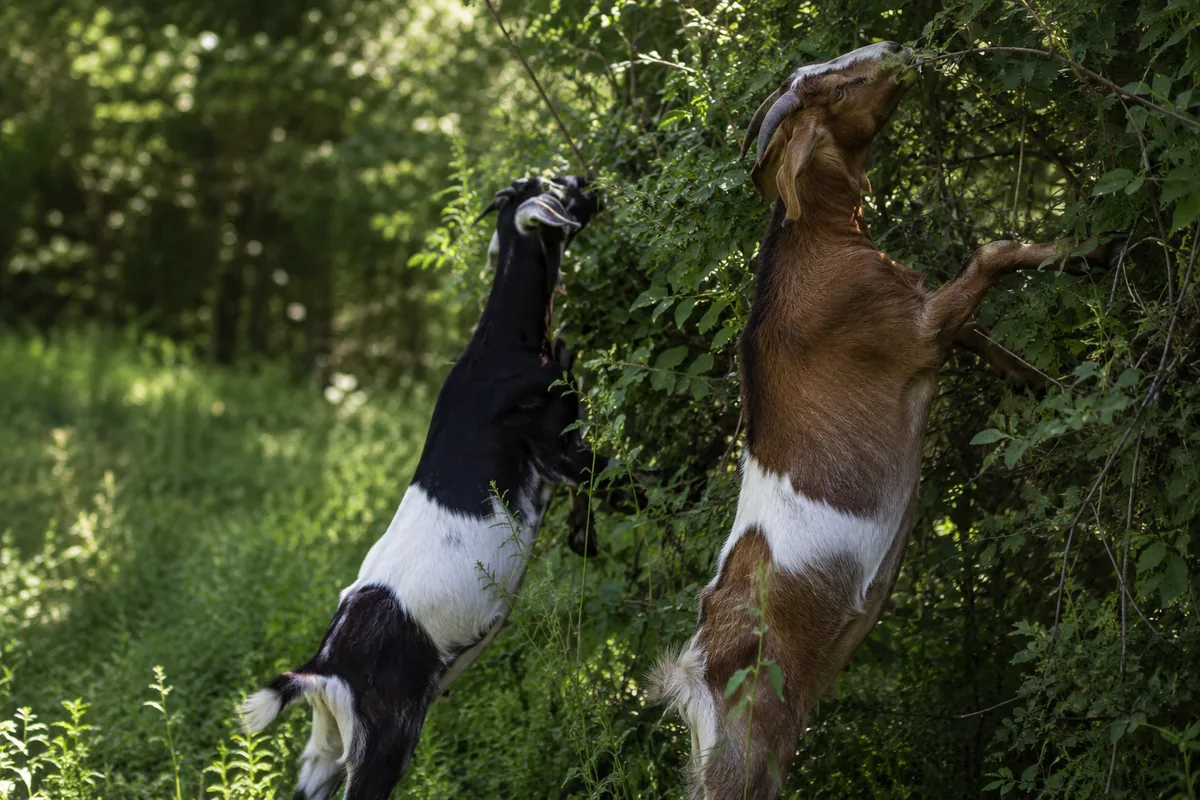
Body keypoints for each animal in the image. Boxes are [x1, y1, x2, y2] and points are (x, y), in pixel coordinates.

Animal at [239, 176, 605, 800]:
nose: (588, 184)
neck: (501, 346)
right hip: (382, 748)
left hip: (326, 750)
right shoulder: (559, 451)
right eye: (557, 187)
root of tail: (325, 669)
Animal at [651, 42, 1122, 799]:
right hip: (750, 749)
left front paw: (1051, 387)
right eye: (838, 89)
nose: (896, 51)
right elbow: (993, 254)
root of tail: (695, 668)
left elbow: (992, 342)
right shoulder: (917, 333)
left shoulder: (936, 324)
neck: (821, 244)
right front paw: (1097, 247)